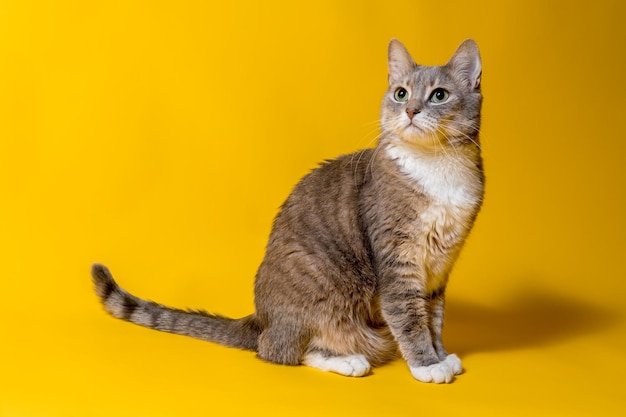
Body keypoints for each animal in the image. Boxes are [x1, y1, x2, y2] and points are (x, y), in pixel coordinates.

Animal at [91, 37, 482, 382]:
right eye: (401, 93)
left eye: (439, 95)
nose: (412, 110)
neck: (435, 166)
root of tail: (261, 319)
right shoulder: (397, 261)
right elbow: (409, 317)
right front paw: (427, 365)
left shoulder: (439, 268)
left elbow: (432, 316)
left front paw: (440, 355)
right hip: (322, 288)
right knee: (280, 349)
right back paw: (348, 360)